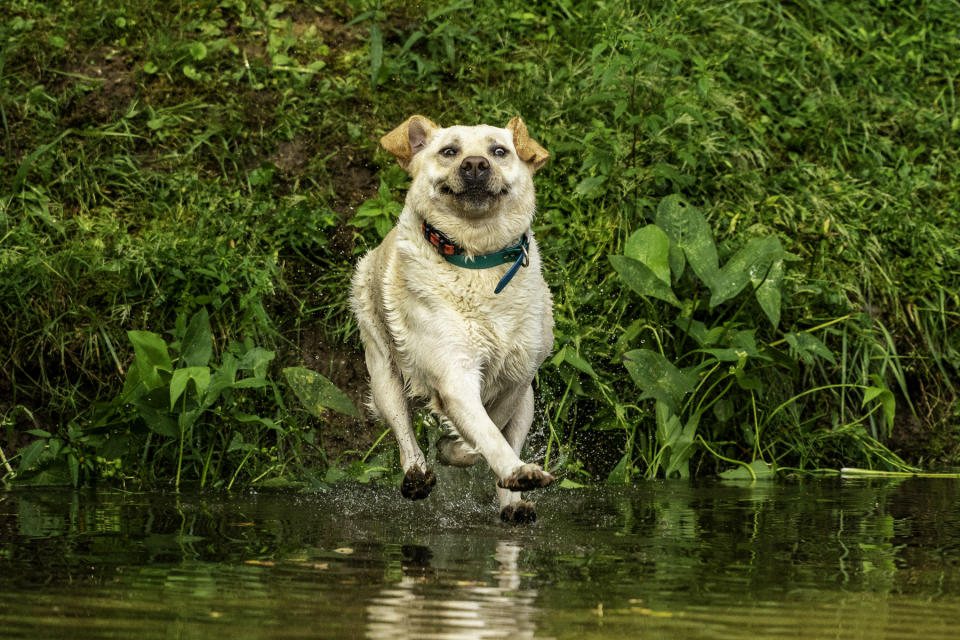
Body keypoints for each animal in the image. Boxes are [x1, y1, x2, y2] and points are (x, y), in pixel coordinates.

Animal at [350, 115, 556, 524]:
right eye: (449, 151)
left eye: (499, 151)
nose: (475, 164)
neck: (478, 259)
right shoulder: (454, 374)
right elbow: (484, 434)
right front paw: (490, 461)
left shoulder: (517, 380)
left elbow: (493, 431)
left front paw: (499, 469)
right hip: (383, 374)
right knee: (404, 432)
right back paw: (417, 474)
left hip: (528, 401)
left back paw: (514, 503)